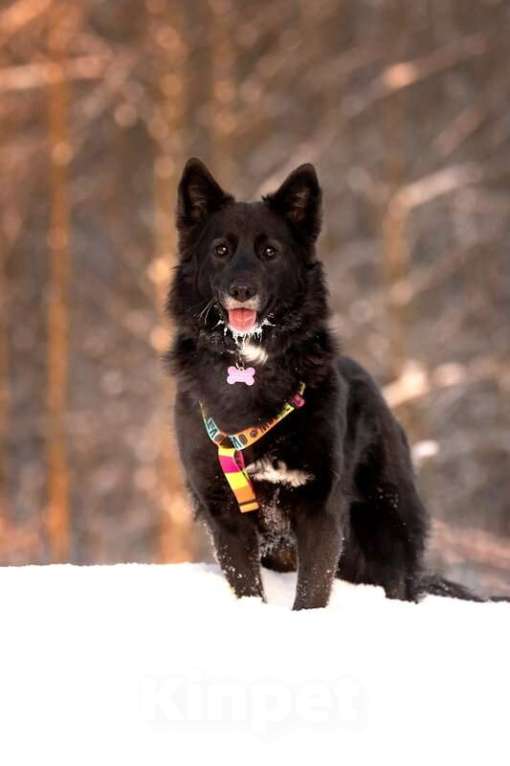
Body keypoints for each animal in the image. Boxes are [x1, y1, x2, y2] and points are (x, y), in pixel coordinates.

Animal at [167, 158, 494, 612]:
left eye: (270, 252)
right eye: (221, 250)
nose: (241, 290)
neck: (248, 369)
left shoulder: (320, 508)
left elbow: (312, 591)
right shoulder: (225, 514)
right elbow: (247, 586)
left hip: (383, 528)